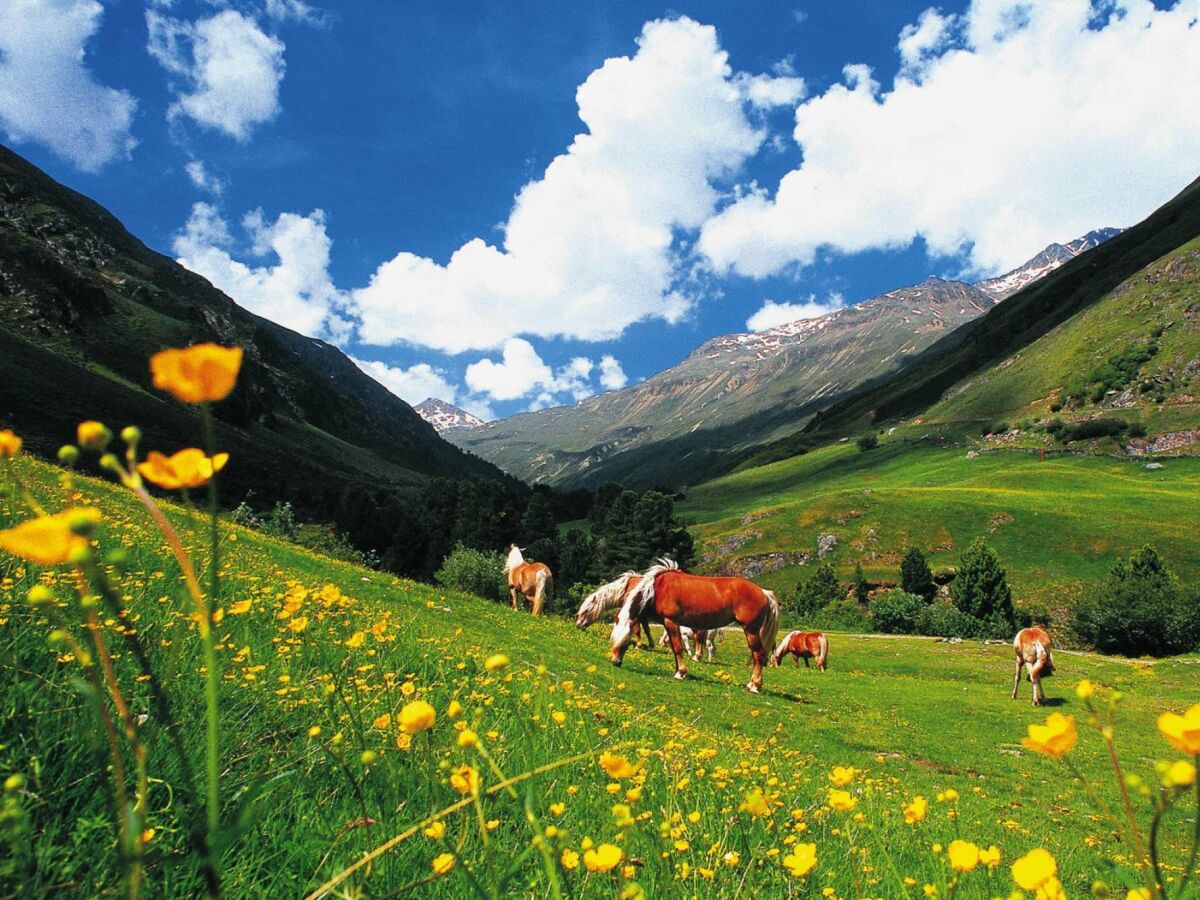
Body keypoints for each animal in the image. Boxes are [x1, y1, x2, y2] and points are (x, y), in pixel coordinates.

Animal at [614, 561, 782, 696]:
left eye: (625, 640)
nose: (615, 661)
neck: (658, 588)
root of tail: (764, 593)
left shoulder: (671, 622)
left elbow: (678, 647)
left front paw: (681, 673)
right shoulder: (668, 624)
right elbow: (675, 648)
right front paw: (678, 670)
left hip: (751, 631)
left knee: (759, 655)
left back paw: (755, 686)